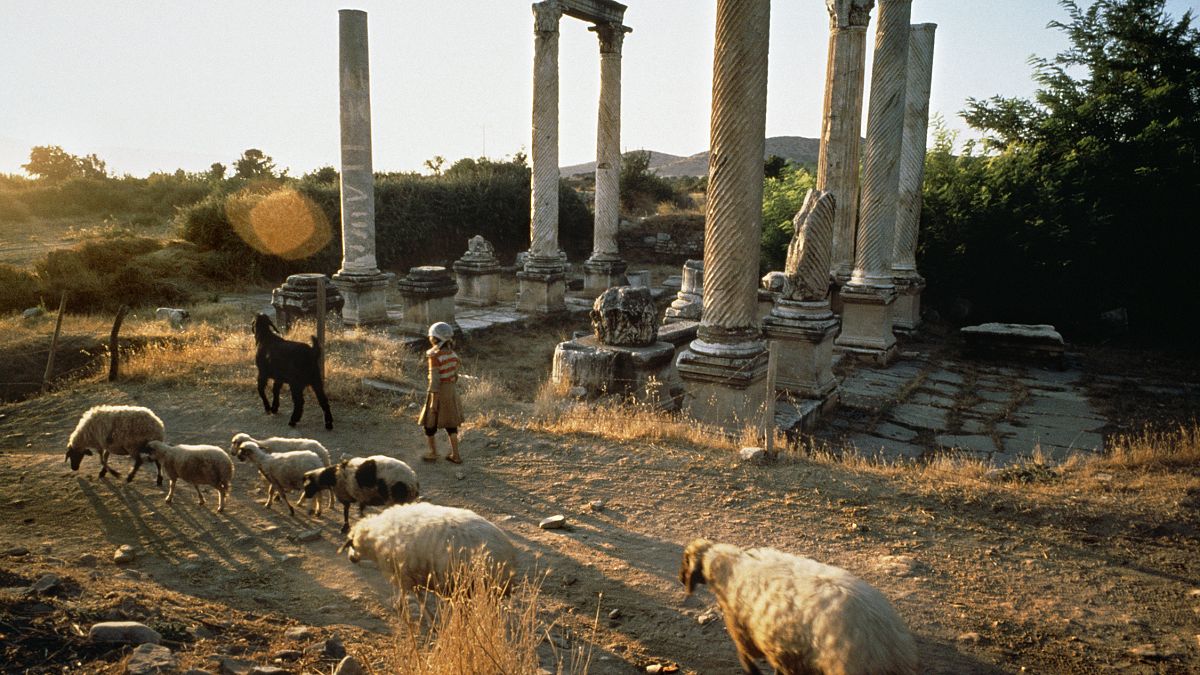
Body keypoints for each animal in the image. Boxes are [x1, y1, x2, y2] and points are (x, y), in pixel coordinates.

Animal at [676, 535, 916, 672]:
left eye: (685, 561)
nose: (679, 578)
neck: (729, 565)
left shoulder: (748, 634)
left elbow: (748, 659)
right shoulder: (785, 652)